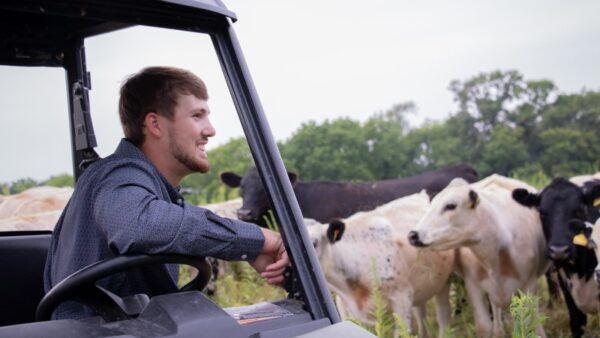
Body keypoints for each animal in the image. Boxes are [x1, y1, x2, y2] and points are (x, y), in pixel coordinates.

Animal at [408, 174, 548, 338]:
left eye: (451, 206)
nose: (413, 235)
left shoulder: (529, 285)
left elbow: (527, 323)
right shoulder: (474, 286)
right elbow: (483, 327)